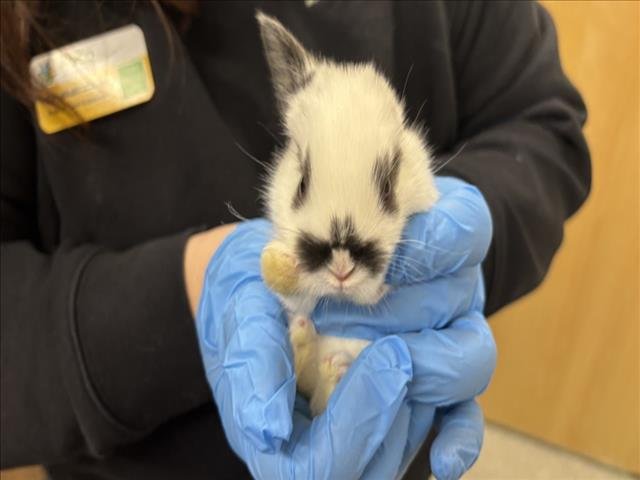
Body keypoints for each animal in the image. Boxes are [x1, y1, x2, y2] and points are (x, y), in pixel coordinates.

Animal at [257, 12, 439, 416]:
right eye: (301, 183)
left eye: (388, 184)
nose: (341, 268)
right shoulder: (301, 299)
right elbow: (296, 296)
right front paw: (280, 264)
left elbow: (375, 295)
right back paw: (307, 343)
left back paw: (336, 372)